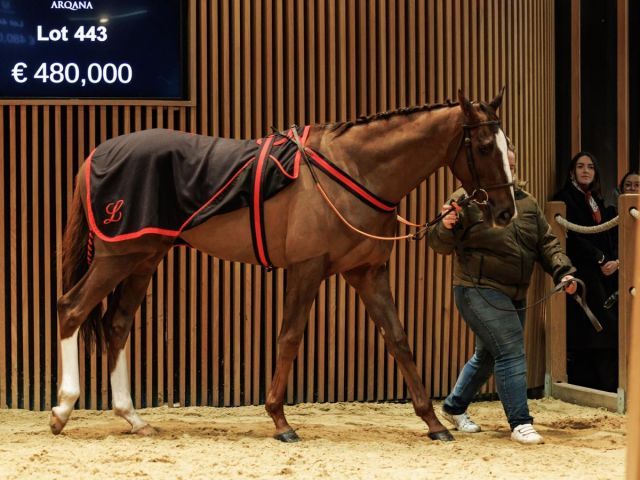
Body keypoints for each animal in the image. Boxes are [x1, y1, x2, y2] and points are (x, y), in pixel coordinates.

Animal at [52, 89, 516, 442]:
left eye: (508, 147)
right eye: (484, 147)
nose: (506, 211)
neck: (353, 168)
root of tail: (98, 154)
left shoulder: (368, 272)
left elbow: (398, 340)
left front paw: (433, 422)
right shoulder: (308, 267)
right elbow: (289, 337)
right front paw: (279, 419)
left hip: (142, 258)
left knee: (117, 325)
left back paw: (132, 417)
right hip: (116, 257)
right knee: (71, 309)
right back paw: (63, 409)